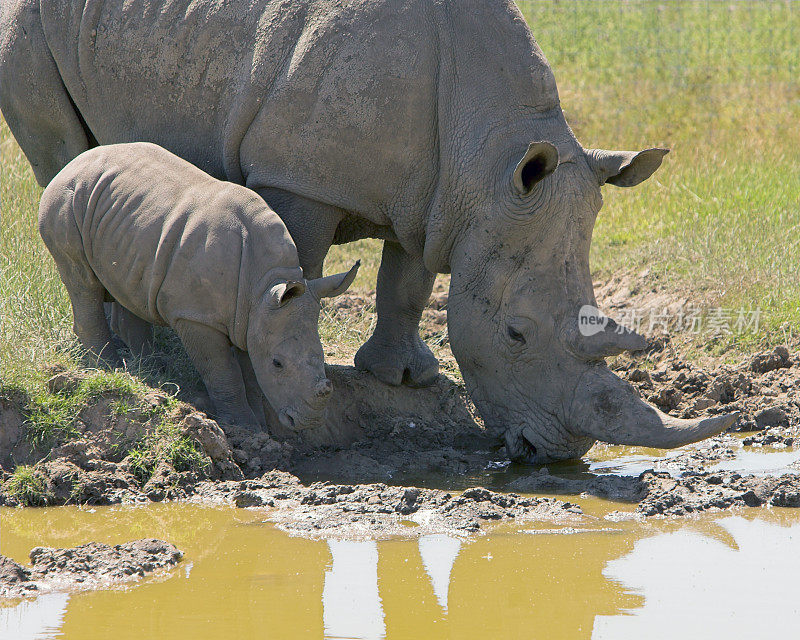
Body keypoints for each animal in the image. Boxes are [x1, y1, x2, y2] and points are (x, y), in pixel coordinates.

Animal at [39, 141, 358, 430]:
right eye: (278, 363)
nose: (308, 422)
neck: (264, 282)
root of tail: (72, 164)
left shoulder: (254, 314)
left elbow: (251, 371)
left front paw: (261, 429)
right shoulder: (196, 315)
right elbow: (222, 371)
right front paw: (244, 428)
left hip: (120, 217)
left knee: (126, 284)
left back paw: (149, 373)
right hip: (66, 201)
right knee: (83, 282)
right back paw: (108, 369)